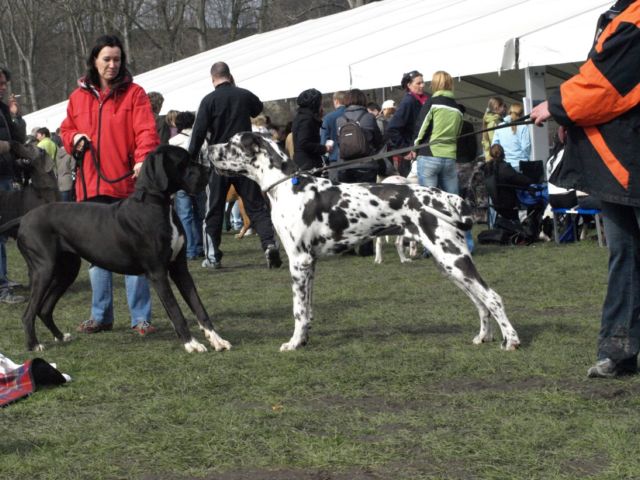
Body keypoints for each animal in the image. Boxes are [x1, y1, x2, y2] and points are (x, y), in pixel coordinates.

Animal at [205, 133, 520, 350]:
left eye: (231, 143)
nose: (206, 149)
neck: (287, 187)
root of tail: (451, 198)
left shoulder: (299, 262)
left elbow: (298, 310)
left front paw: (294, 344)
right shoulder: (310, 265)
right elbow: (308, 311)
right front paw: (303, 339)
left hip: (454, 260)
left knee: (492, 297)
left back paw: (512, 340)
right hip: (450, 265)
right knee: (480, 302)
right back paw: (483, 336)